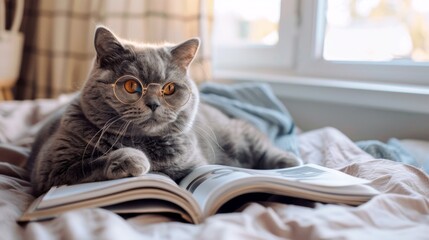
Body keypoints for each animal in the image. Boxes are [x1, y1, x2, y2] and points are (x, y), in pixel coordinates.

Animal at [26, 26, 300, 196]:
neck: (143, 142)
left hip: (235, 134)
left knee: (259, 143)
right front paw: (133, 159)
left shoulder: (196, 164)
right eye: (131, 85)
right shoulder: (49, 170)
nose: (153, 104)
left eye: (169, 88)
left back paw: (290, 163)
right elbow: (89, 164)